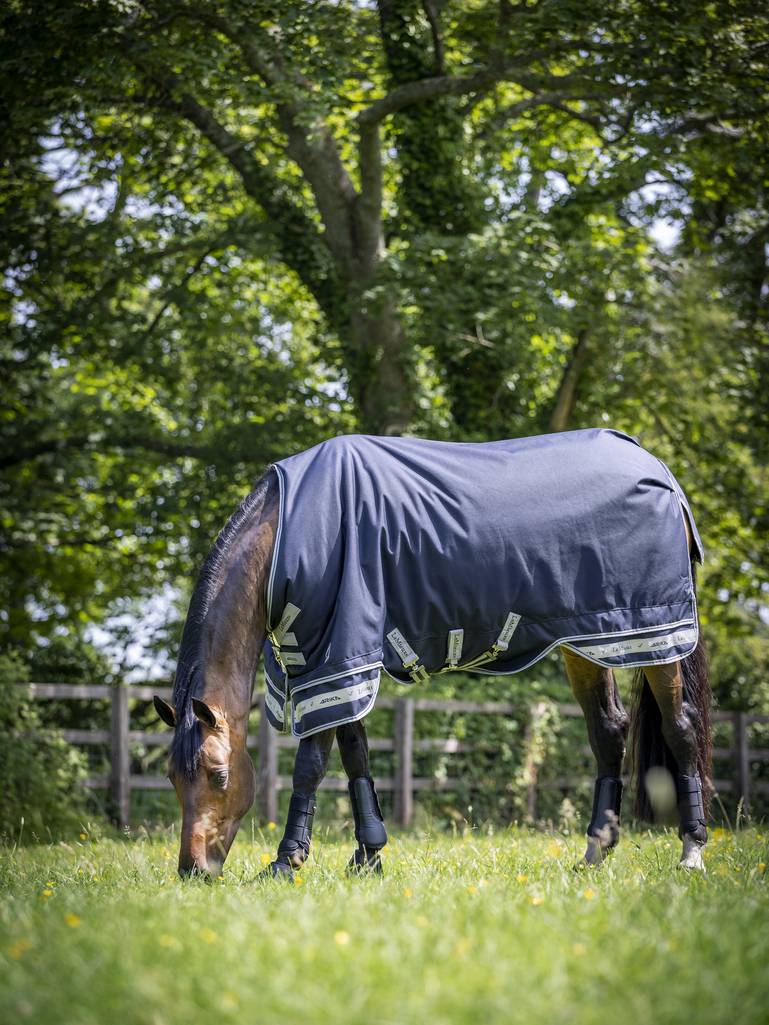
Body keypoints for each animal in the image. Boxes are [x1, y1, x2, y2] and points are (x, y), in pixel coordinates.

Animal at [153, 430, 711, 879]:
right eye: (172, 777)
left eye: (219, 775)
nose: (193, 869)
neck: (288, 531)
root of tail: (659, 472)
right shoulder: (340, 662)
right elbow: (355, 754)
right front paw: (368, 855)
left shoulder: (333, 656)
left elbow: (312, 764)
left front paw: (287, 861)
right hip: (591, 640)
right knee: (608, 731)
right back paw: (595, 852)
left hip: (656, 636)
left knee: (680, 726)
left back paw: (692, 852)